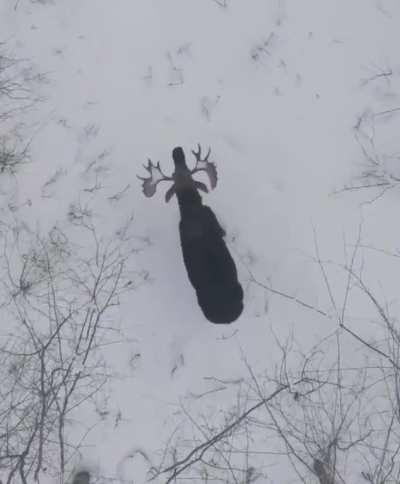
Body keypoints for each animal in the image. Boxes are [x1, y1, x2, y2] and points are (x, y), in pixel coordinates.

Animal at [138, 144, 244, 326]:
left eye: (186, 169)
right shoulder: (214, 220)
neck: (191, 208)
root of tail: (228, 315)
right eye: (174, 172)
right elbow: (223, 231)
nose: (177, 150)